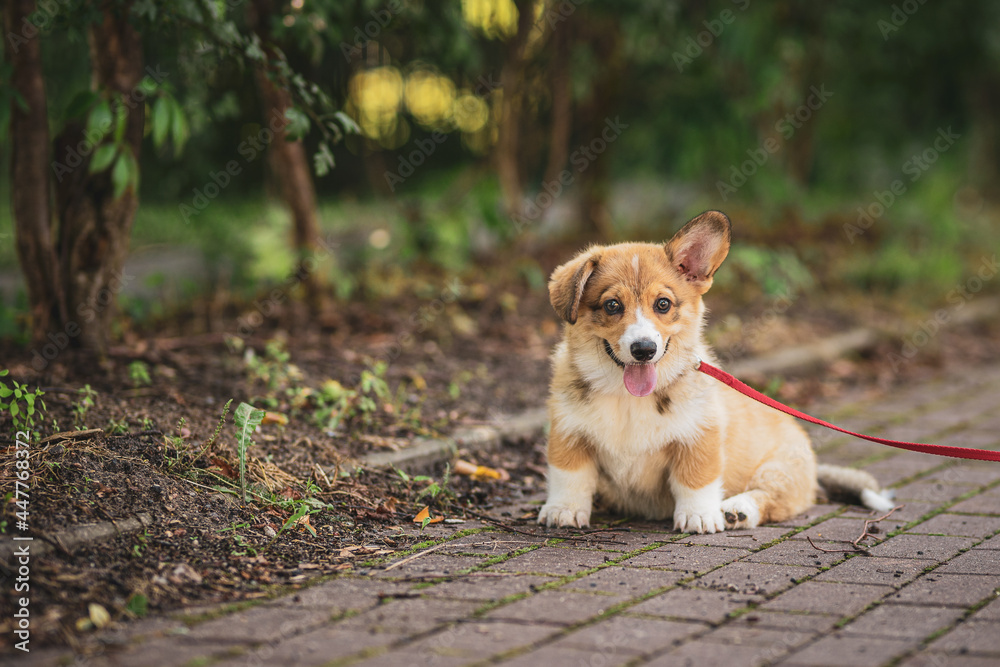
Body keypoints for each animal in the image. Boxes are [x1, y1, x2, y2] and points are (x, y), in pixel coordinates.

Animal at [544, 211, 896, 536]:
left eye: (663, 304)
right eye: (612, 305)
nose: (643, 349)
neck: (625, 397)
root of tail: (815, 465)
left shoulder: (699, 436)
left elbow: (696, 479)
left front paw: (699, 516)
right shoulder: (568, 434)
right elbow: (568, 476)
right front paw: (564, 510)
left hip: (779, 469)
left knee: (773, 498)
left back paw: (736, 510)